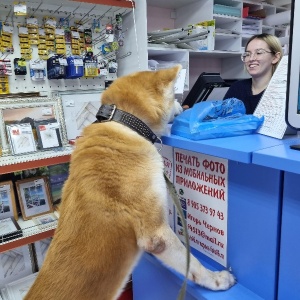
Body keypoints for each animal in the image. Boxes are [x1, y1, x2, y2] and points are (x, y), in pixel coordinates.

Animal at [24, 66, 234, 300]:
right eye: (175, 97)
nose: (186, 106)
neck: (123, 121)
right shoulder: (156, 234)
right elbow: (193, 263)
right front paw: (216, 279)